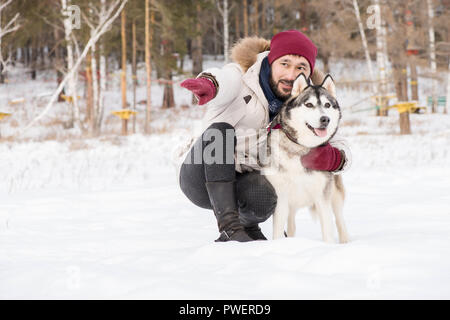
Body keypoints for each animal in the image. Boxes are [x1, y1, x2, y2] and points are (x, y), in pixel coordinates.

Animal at [262, 73, 350, 242]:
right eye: (309, 105)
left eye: (327, 105)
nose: (325, 119)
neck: (301, 148)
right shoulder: (281, 198)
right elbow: (278, 232)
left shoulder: (322, 198)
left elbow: (328, 230)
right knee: (291, 225)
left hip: (335, 197)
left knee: (341, 222)